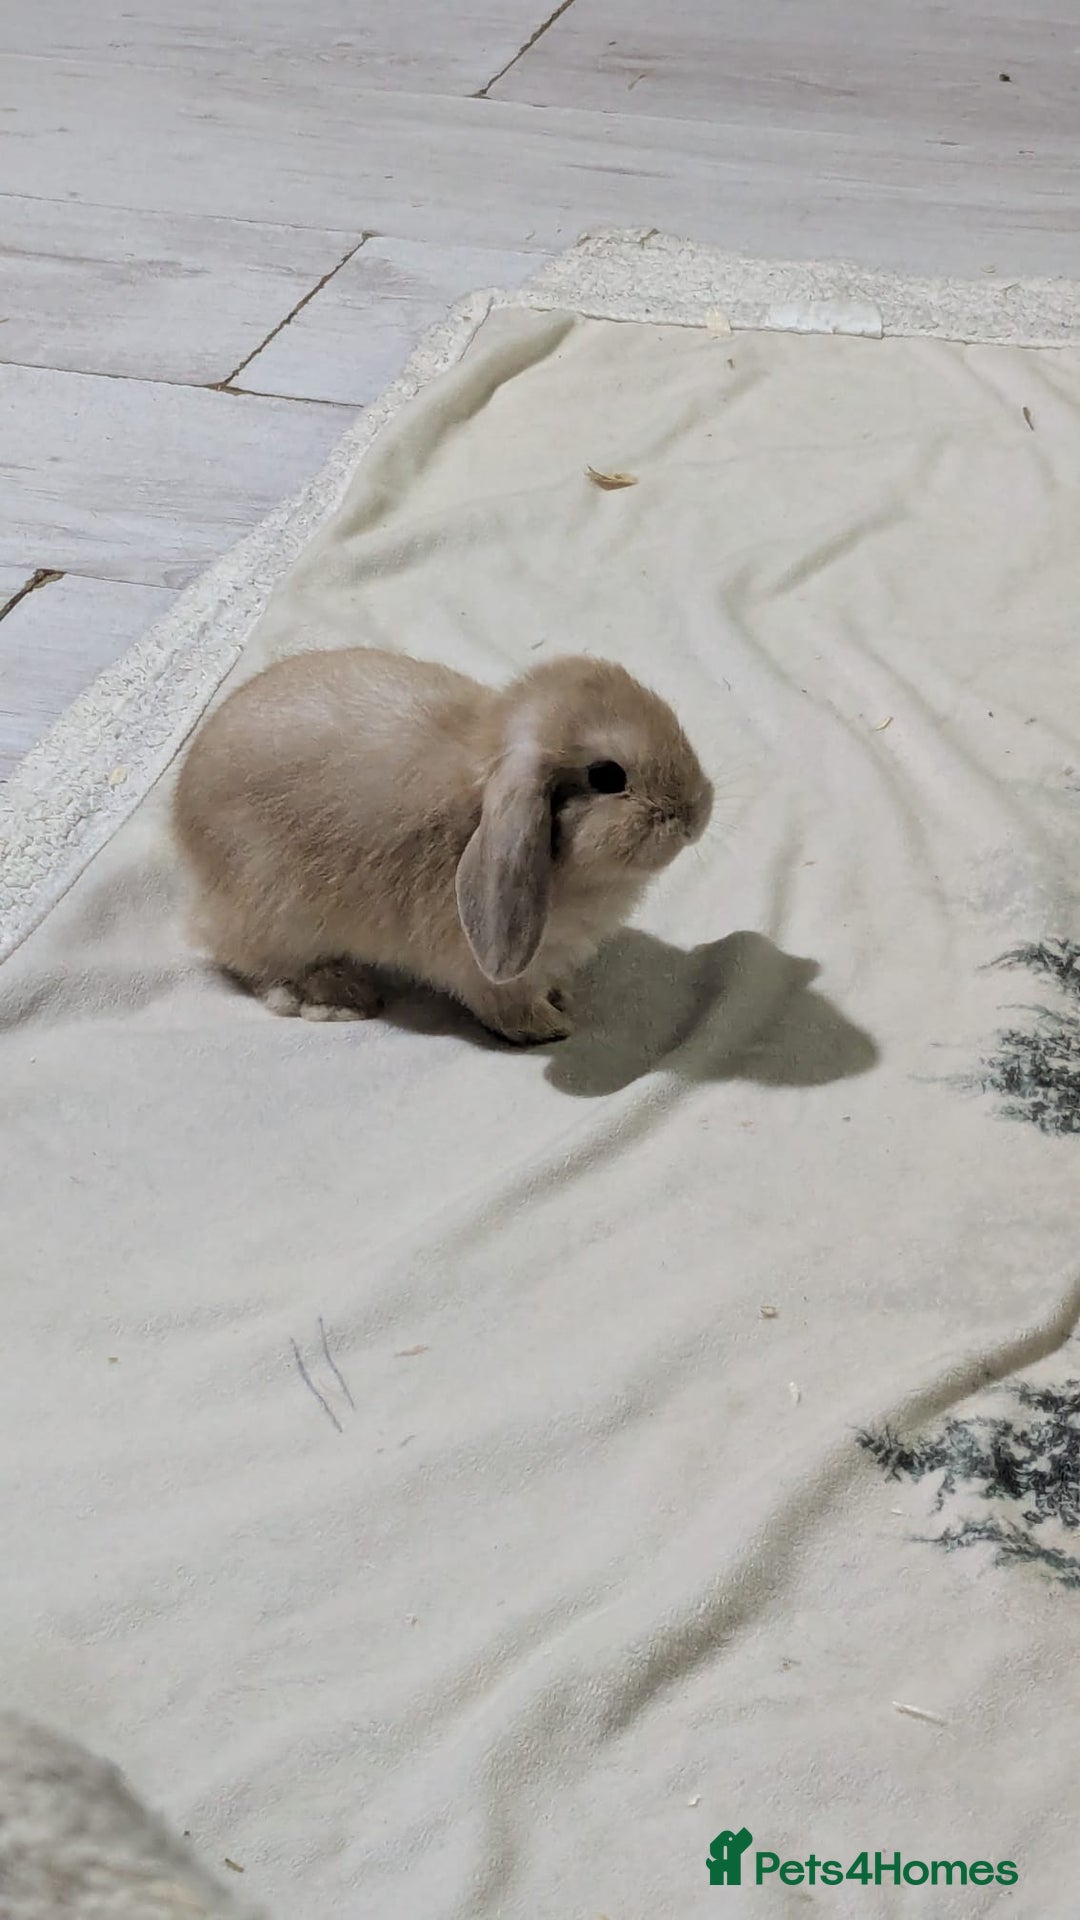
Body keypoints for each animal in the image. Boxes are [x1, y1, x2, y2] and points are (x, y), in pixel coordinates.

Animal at [172, 648, 713, 1045]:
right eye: (607, 776)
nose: (697, 809)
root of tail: (182, 828)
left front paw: (561, 995)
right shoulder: (482, 970)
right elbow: (507, 1006)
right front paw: (549, 1027)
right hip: (275, 914)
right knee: (254, 964)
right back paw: (336, 997)